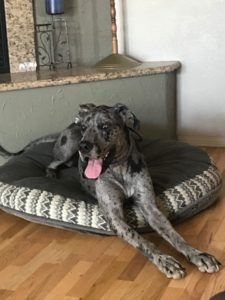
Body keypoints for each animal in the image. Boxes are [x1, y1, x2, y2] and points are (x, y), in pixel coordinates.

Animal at [0, 103, 221, 278]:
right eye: (84, 127)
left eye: (105, 126)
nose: (84, 146)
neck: (119, 168)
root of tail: (68, 125)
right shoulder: (114, 216)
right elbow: (142, 241)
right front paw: (164, 260)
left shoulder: (150, 207)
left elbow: (174, 235)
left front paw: (197, 254)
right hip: (67, 147)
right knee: (52, 163)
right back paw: (52, 174)